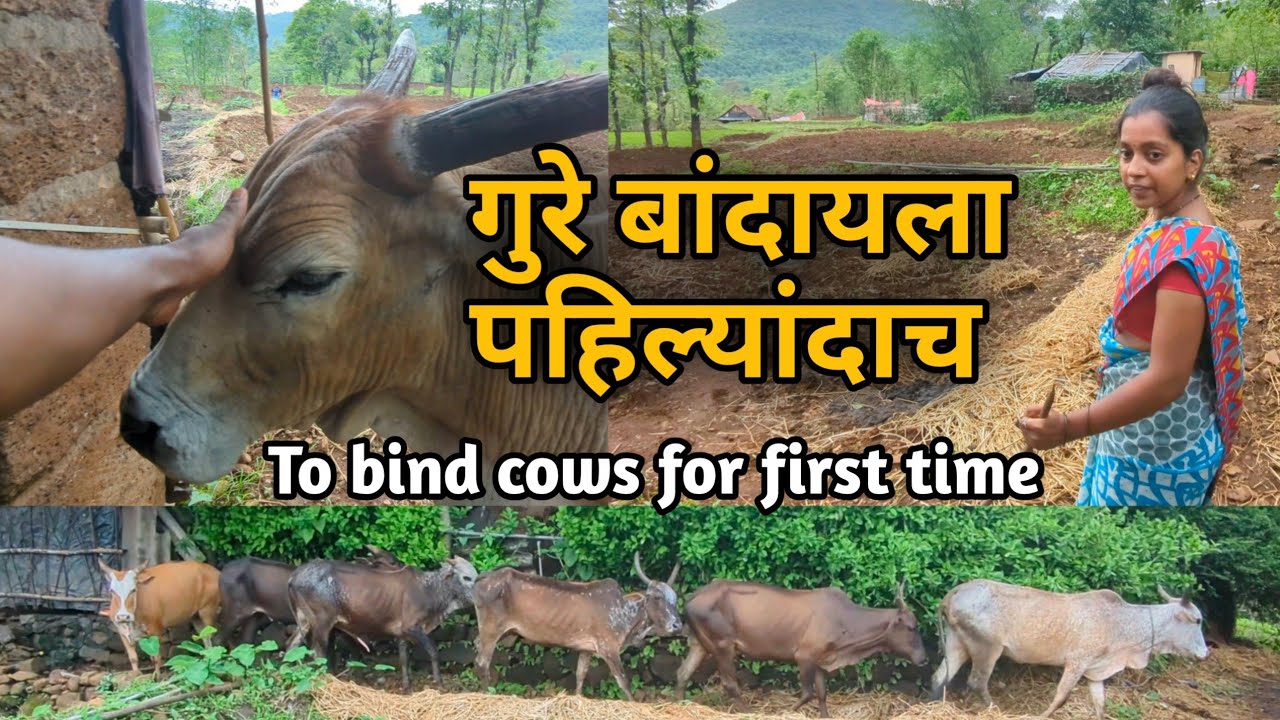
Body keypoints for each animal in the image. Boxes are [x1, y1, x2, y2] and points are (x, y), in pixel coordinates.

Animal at [284, 555, 478, 692]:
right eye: (466, 577)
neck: (429, 590)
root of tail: (294, 576)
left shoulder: (402, 634)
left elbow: (404, 659)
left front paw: (407, 686)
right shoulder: (412, 627)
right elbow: (433, 651)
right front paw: (440, 683)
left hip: (305, 620)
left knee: (291, 645)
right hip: (322, 622)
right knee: (318, 651)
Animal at [472, 551, 683, 701]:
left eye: (675, 599)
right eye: (656, 597)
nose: (677, 625)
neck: (625, 613)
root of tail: (482, 578)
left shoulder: (586, 650)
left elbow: (580, 676)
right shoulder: (608, 649)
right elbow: (624, 682)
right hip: (491, 630)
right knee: (482, 662)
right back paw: (488, 694)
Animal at [675, 579, 928, 718]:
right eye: (912, 627)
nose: (924, 659)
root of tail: (692, 597)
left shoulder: (820, 660)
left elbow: (822, 694)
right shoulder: (804, 656)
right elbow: (808, 693)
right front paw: (782, 712)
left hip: (699, 644)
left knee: (683, 673)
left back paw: (679, 705)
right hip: (723, 645)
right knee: (729, 684)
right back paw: (749, 712)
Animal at [929, 579, 1210, 720]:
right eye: (1198, 620)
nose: (1205, 654)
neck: (1121, 623)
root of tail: (953, 593)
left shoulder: (1095, 672)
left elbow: (1099, 704)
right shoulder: (1077, 662)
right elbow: (1061, 697)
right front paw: (1041, 715)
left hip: (957, 643)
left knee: (939, 676)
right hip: (987, 648)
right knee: (977, 681)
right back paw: (995, 710)